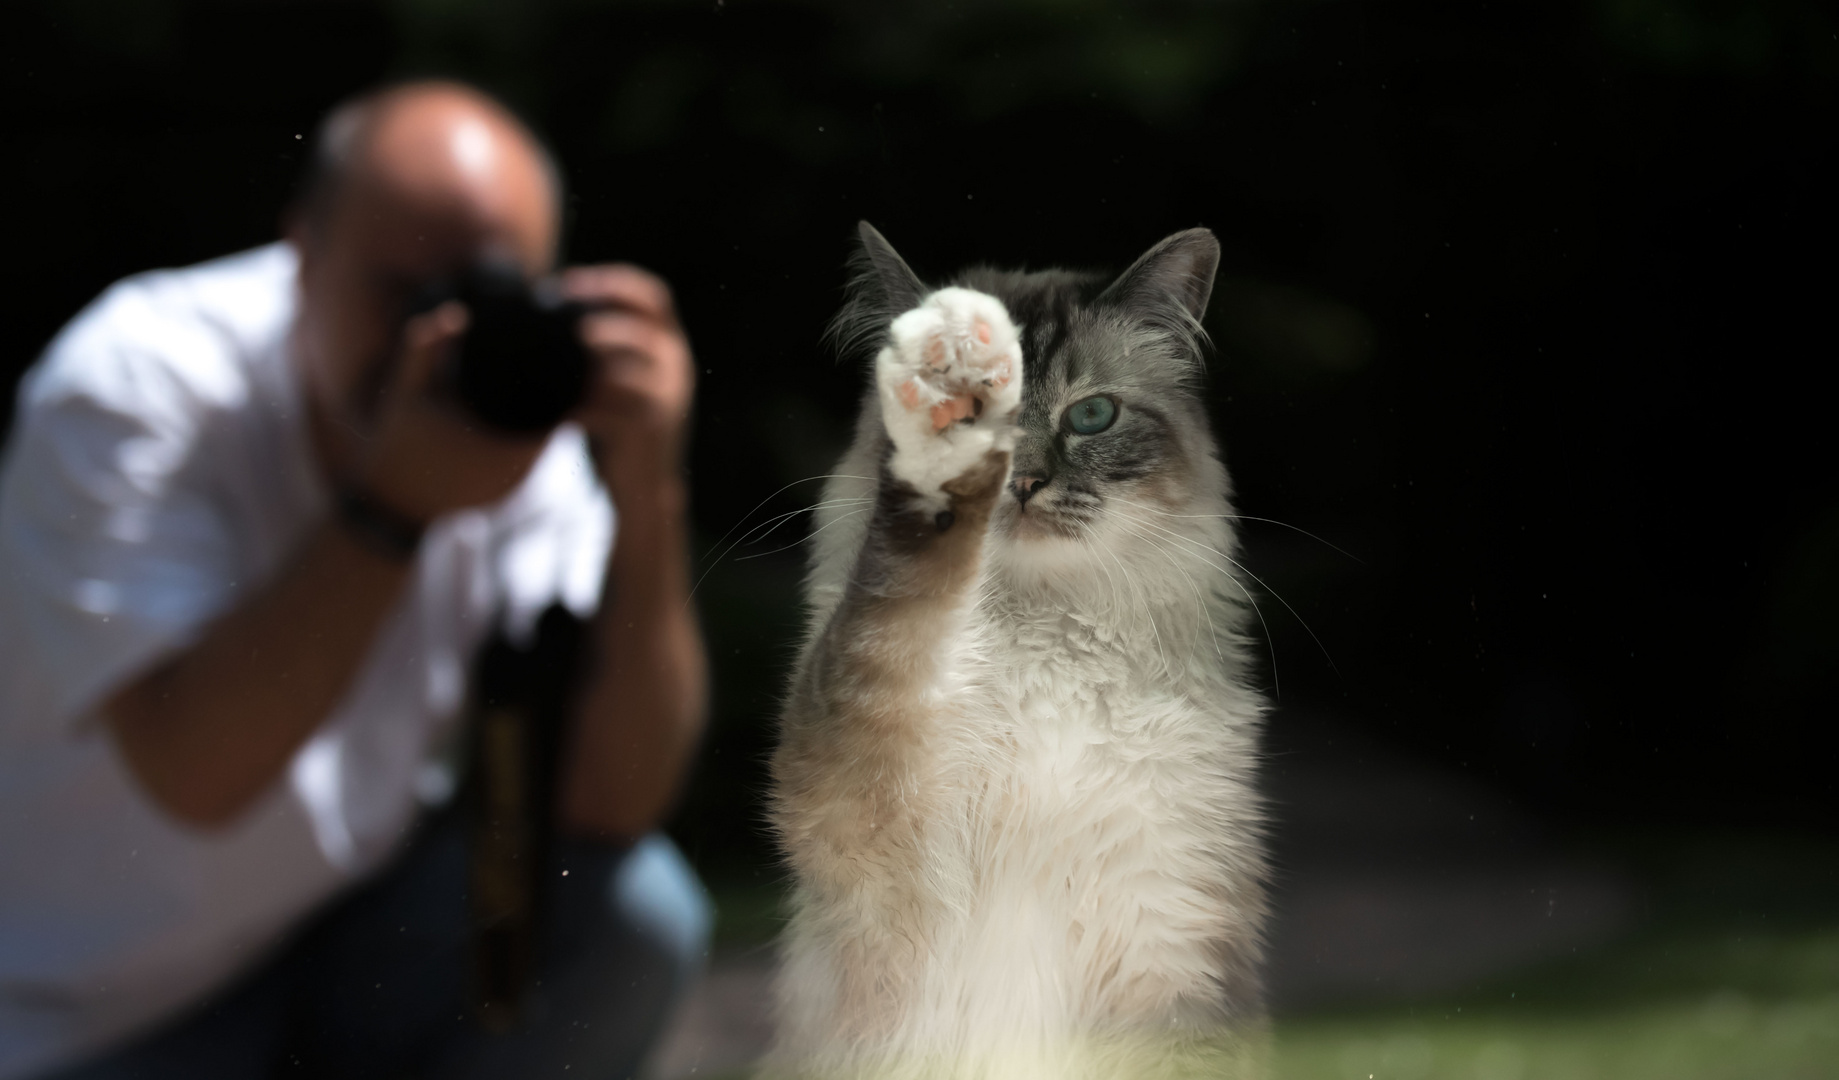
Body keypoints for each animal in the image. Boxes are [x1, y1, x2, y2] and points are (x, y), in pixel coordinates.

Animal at [761, 223, 1265, 1074]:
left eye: (1090, 416)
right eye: (963, 413)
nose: (1021, 481)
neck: (1040, 644)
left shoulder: (1168, 938)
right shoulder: (865, 799)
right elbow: (902, 595)